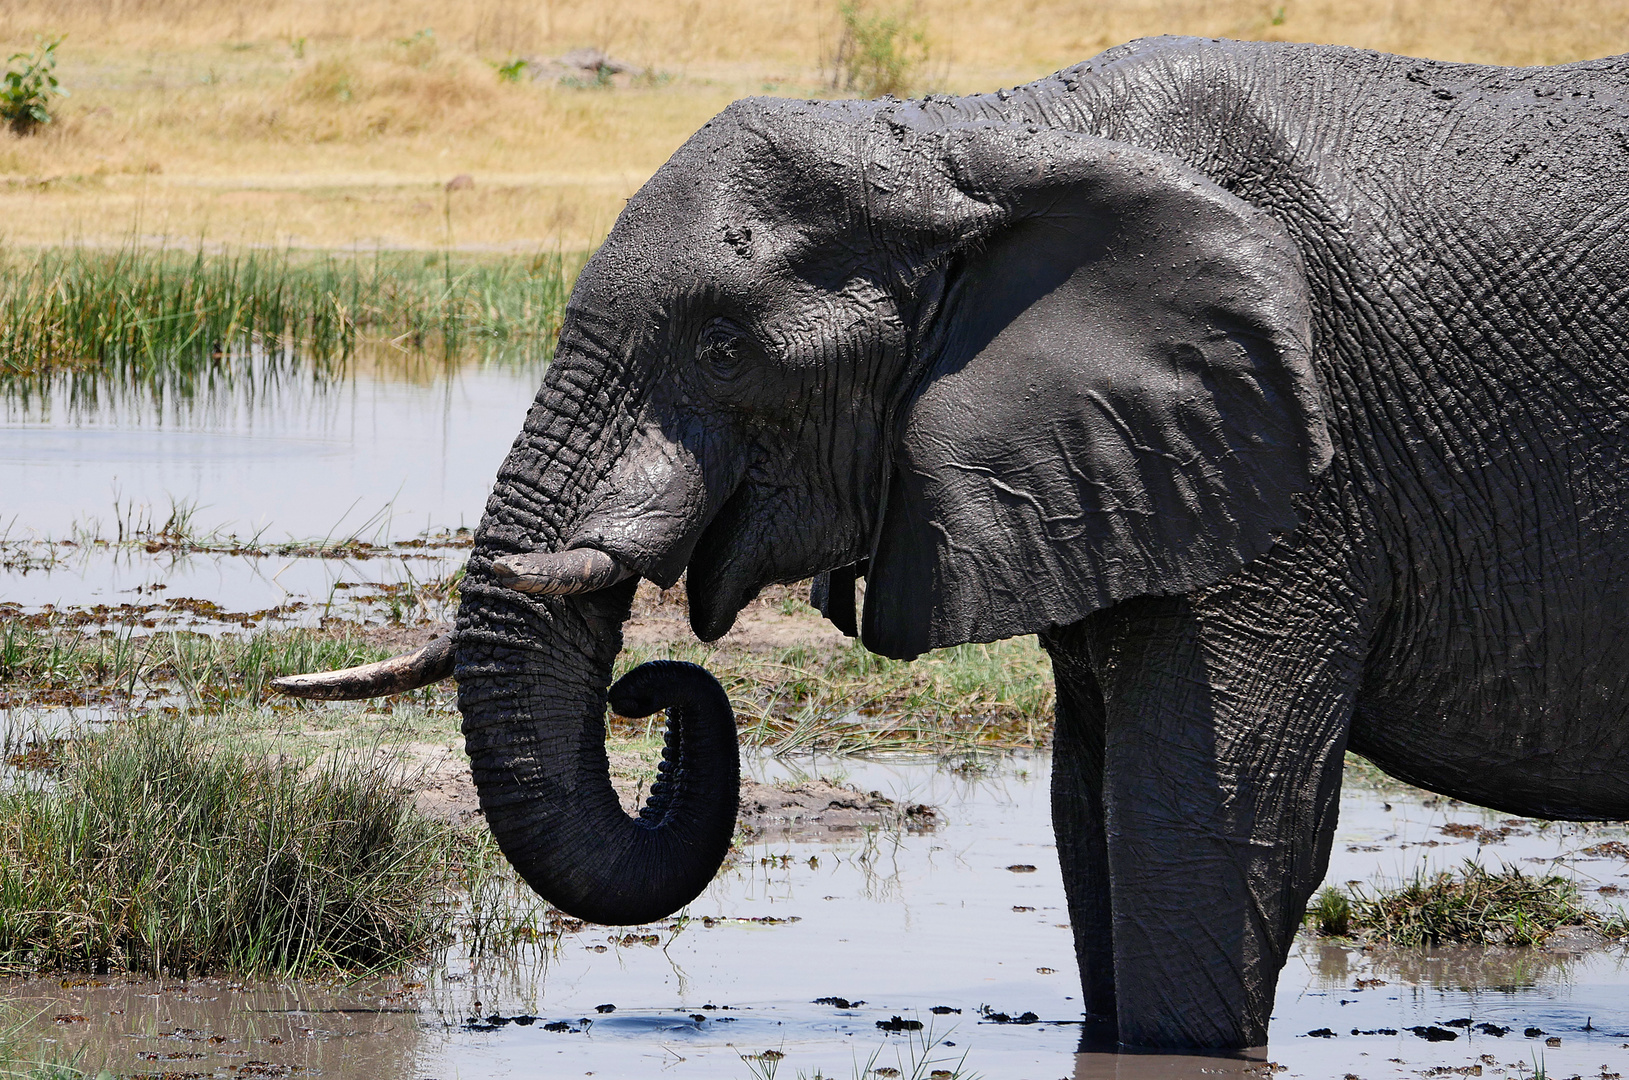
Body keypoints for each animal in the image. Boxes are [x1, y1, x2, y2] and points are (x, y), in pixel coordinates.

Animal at [273, 38, 1629, 1049]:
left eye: (722, 346)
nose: (648, 690)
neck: (978, 142)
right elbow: (1091, 823)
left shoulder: (1297, 479)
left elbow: (1206, 827)